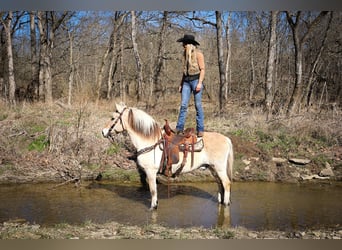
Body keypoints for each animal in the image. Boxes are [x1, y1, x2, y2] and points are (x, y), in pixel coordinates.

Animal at [101, 102, 234, 210]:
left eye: (113, 118)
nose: (103, 131)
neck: (150, 141)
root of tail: (226, 139)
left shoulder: (151, 172)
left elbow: (153, 191)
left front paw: (153, 207)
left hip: (219, 168)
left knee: (226, 183)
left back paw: (226, 203)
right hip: (212, 168)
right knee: (219, 184)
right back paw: (220, 201)